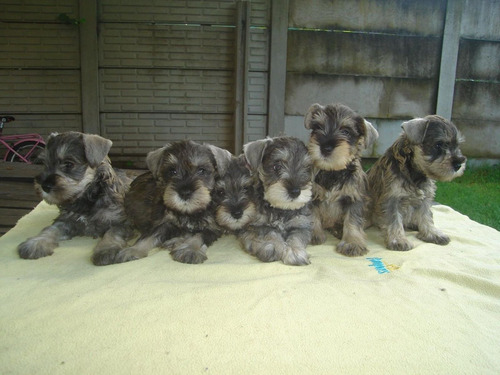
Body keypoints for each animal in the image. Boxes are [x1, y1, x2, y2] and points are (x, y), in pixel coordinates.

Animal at [18, 131, 134, 266]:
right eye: (44, 163)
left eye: (69, 164)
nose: (44, 186)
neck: (87, 197)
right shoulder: (65, 220)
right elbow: (51, 229)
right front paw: (35, 243)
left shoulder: (121, 222)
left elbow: (112, 233)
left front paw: (106, 250)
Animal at [238, 137, 312, 266]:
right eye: (277, 166)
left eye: (307, 168)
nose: (295, 191)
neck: (281, 209)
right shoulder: (257, 225)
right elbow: (270, 232)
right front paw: (273, 246)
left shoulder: (301, 226)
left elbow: (296, 238)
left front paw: (295, 251)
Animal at [304, 103, 378, 258]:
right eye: (317, 127)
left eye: (346, 131)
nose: (325, 147)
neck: (333, 171)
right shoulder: (313, 198)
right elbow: (313, 216)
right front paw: (313, 234)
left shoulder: (354, 199)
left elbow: (353, 221)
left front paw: (352, 243)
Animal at [366, 114, 466, 250]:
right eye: (438, 145)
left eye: (457, 145)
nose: (458, 164)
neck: (416, 173)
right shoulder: (391, 199)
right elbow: (394, 221)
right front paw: (398, 240)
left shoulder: (425, 199)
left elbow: (426, 217)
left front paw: (432, 233)